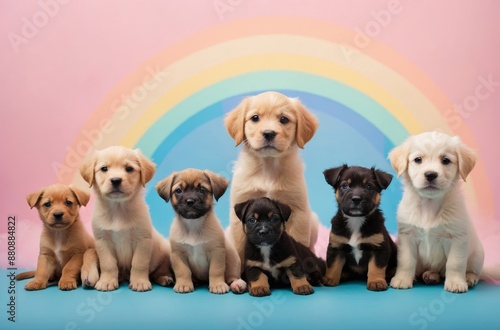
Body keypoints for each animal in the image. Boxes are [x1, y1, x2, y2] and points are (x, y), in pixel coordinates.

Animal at [78, 146, 172, 292]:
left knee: (160, 270)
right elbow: (108, 264)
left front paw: (139, 282)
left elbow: (139, 263)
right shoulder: (103, 241)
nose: (116, 180)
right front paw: (107, 281)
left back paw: (165, 278)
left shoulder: (142, 240)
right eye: (104, 168)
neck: (118, 209)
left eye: (129, 168)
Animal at [225, 89, 318, 268]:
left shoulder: (298, 212)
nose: (269, 133)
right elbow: (240, 251)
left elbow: (298, 242)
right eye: (255, 118)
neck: (268, 167)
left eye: (284, 119)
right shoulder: (239, 213)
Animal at [386, 131, 484, 294]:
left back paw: (469, 278)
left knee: (474, 271)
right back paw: (430, 275)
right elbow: (406, 261)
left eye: (445, 160)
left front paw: (456, 282)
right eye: (418, 160)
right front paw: (402, 279)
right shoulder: (407, 236)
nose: (430, 174)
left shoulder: (457, 238)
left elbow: (455, 263)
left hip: (478, 255)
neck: (429, 205)